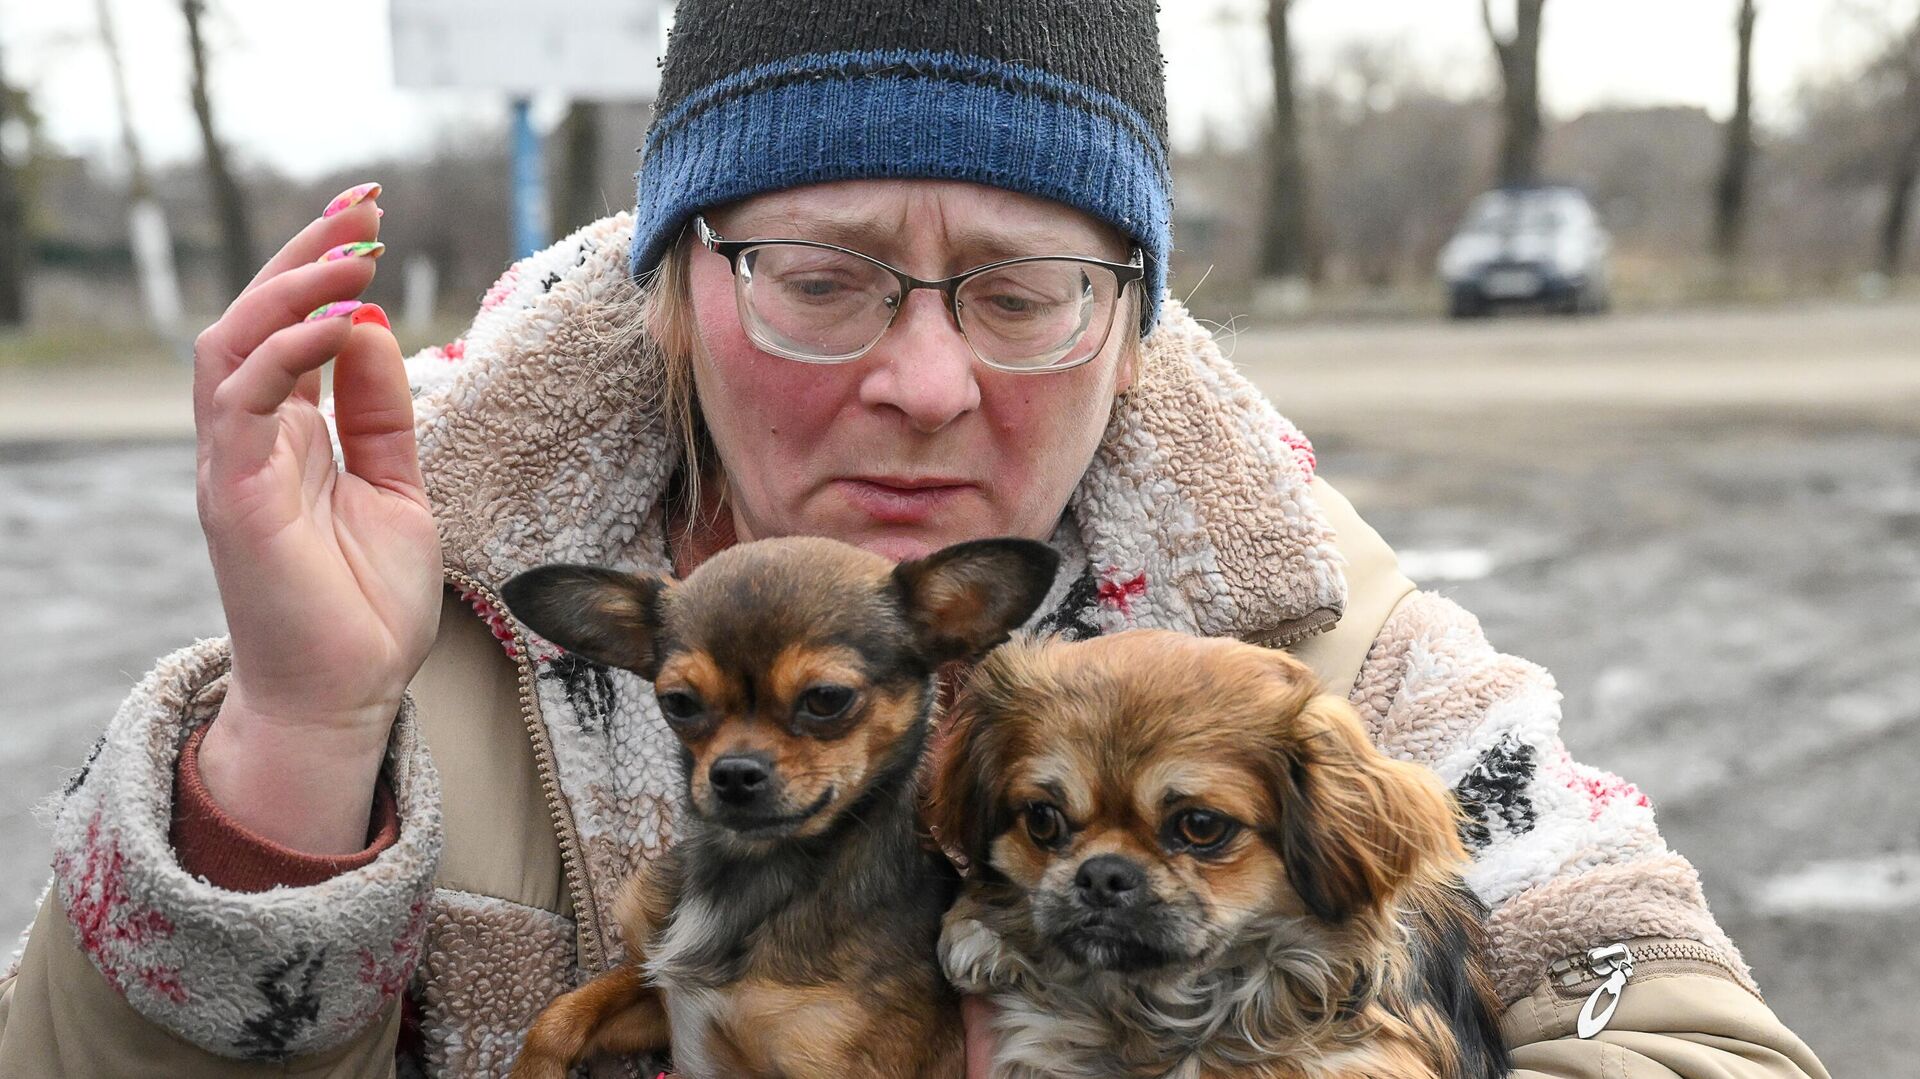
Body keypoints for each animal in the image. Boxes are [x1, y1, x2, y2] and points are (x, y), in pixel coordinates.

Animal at [503, 533, 1059, 1067]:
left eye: (827, 698)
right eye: (678, 702)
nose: (733, 773)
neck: (751, 869)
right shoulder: (656, 988)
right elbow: (559, 1018)